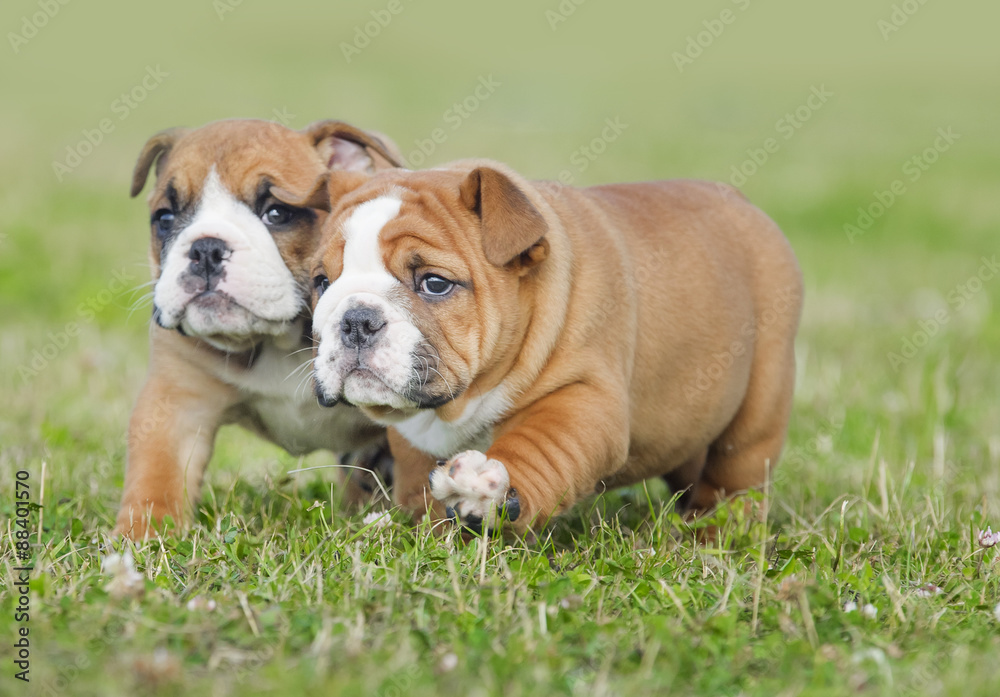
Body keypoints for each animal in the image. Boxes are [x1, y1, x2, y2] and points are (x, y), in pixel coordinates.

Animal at [118, 118, 410, 540]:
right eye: (165, 218)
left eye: (277, 213)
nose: (206, 248)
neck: (278, 340)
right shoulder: (175, 406)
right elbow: (156, 479)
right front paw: (143, 537)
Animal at [308, 162, 800, 532]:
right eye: (321, 282)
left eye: (434, 283)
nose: (355, 320)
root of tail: (741, 200)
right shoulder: (415, 433)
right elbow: (416, 473)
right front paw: (423, 524)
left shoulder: (582, 399)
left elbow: (537, 448)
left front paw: (491, 490)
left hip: (759, 404)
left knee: (737, 474)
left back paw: (714, 531)